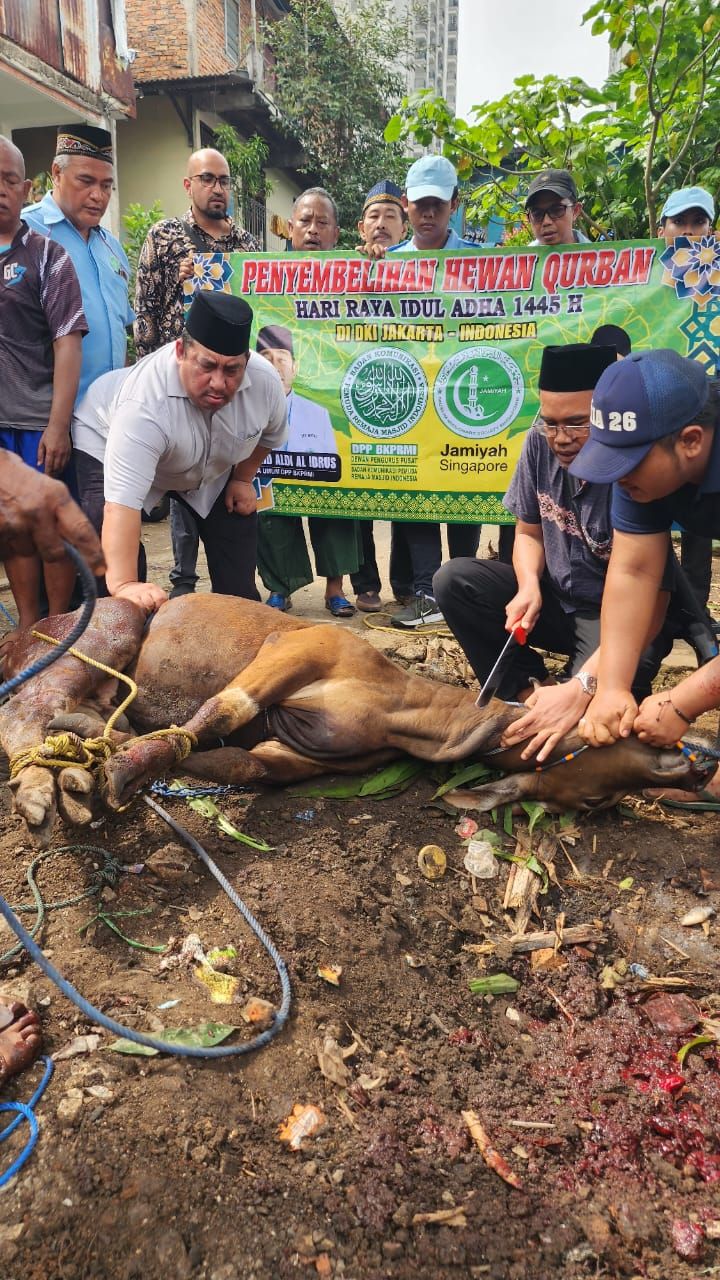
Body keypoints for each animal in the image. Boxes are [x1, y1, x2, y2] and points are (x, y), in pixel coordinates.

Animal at [0, 593, 707, 844]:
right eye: (613, 733)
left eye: (592, 806)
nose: (694, 764)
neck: (400, 705)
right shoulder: (296, 651)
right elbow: (221, 711)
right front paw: (119, 772)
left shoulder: (294, 758)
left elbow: (239, 763)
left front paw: (113, 756)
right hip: (103, 627)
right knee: (22, 713)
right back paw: (46, 787)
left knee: (64, 713)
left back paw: (72, 760)